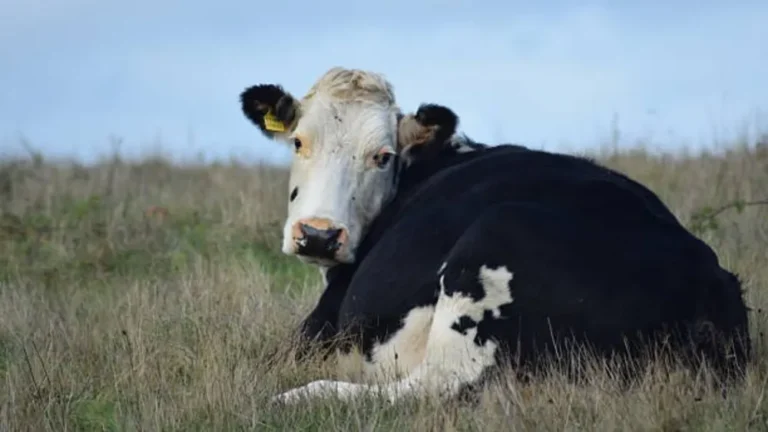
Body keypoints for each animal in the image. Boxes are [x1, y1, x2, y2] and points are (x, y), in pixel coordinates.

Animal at [238, 67, 752, 404]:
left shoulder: (320, 327)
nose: (318, 235)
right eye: (299, 141)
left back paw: (301, 396)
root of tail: (708, 280)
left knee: (433, 388)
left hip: (493, 246)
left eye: (382, 156)